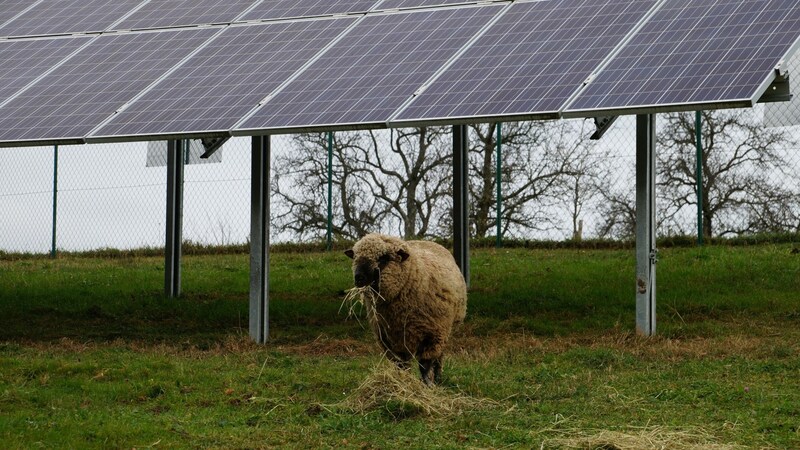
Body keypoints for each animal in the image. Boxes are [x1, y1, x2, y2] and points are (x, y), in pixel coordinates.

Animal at [346, 234, 468, 384]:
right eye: (355, 257)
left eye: (384, 257)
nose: (359, 278)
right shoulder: (389, 339)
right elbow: (401, 365)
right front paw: (403, 380)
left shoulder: (434, 334)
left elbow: (425, 364)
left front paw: (427, 384)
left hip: (445, 332)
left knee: (439, 358)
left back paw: (438, 378)